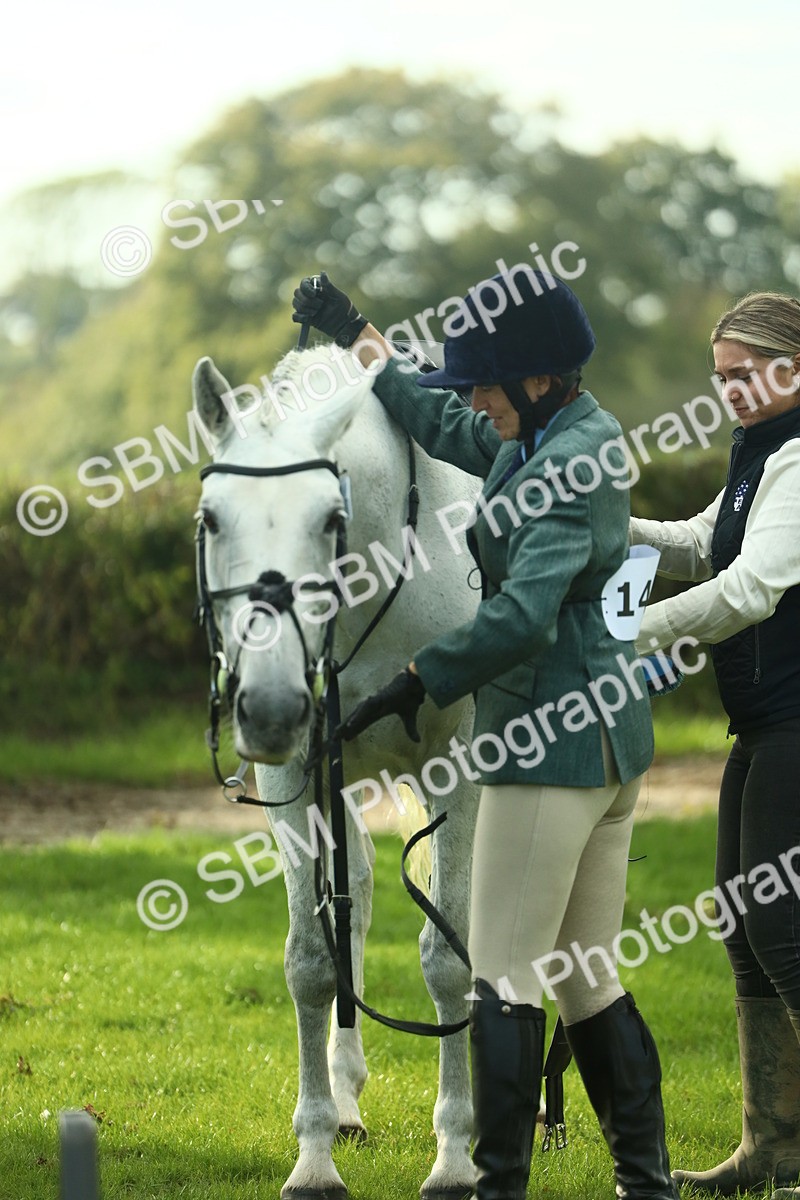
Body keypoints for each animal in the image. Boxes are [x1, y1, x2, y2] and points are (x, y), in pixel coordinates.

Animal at [192, 343, 482, 1200]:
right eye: (212, 518)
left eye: (329, 518)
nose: (270, 705)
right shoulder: (296, 779)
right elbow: (313, 959)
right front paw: (315, 1155)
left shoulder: (458, 766)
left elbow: (448, 960)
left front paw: (455, 1157)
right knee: (352, 904)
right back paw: (347, 1101)